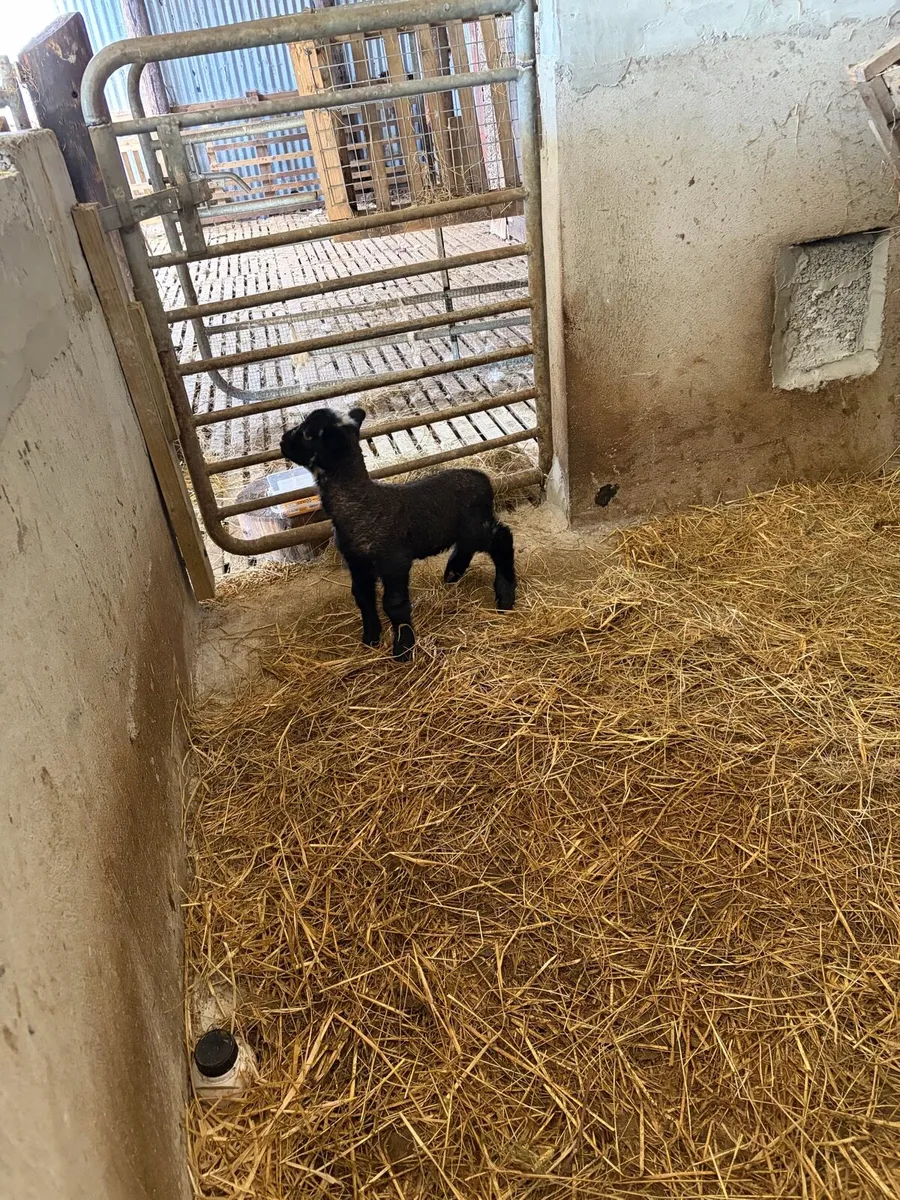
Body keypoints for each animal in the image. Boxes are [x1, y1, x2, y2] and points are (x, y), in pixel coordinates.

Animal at [280, 407, 516, 661]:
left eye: (308, 434)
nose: (282, 441)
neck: (361, 502)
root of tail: (484, 479)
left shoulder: (394, 559)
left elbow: (393, 604)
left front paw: (403, 648)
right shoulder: (357, 562)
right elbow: (363, 597)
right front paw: (371, 638)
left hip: (476, 526)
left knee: (502, 539)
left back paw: (505, 596)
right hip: (467, 527)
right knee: (468, 546)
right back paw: (453, 572)